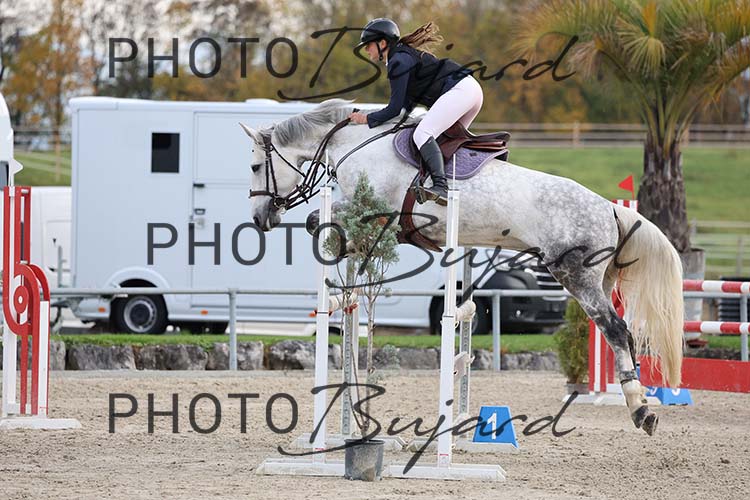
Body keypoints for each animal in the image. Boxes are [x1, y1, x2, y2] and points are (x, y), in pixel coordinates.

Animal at [239, 98, 684, 436]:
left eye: (255, 167)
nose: (261, 218)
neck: (356, 143)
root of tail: (608, 207)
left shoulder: (380, 211)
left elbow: (319, 220)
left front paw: (344, 243)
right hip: (600, 279)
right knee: (617, 333)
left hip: (575, 275)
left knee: (616, 330)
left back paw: (641, 409)